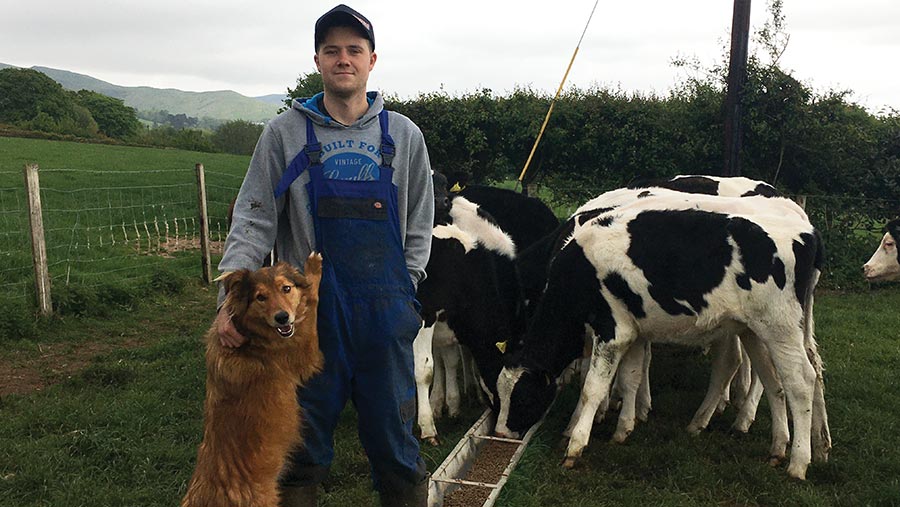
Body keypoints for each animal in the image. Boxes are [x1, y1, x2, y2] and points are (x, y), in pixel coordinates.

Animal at [182, 256, 324, 506]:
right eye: (260, 297)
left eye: (286, 289)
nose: (282, 317)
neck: (249, 334)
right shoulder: (305, 354)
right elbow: (312, 300)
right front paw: (313, 269)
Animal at [496, 193, 832, 480]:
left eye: (523, 396)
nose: (500, 432)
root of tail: (808, 231)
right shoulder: (633, 330)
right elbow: (630, 377)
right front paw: (624, 428)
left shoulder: (613, 330)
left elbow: (592, 387)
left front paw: (575, 442)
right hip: (756, 330)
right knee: (778, 381)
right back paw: (784, 447)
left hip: (779, 328)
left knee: (800, 381)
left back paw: (798, 462)